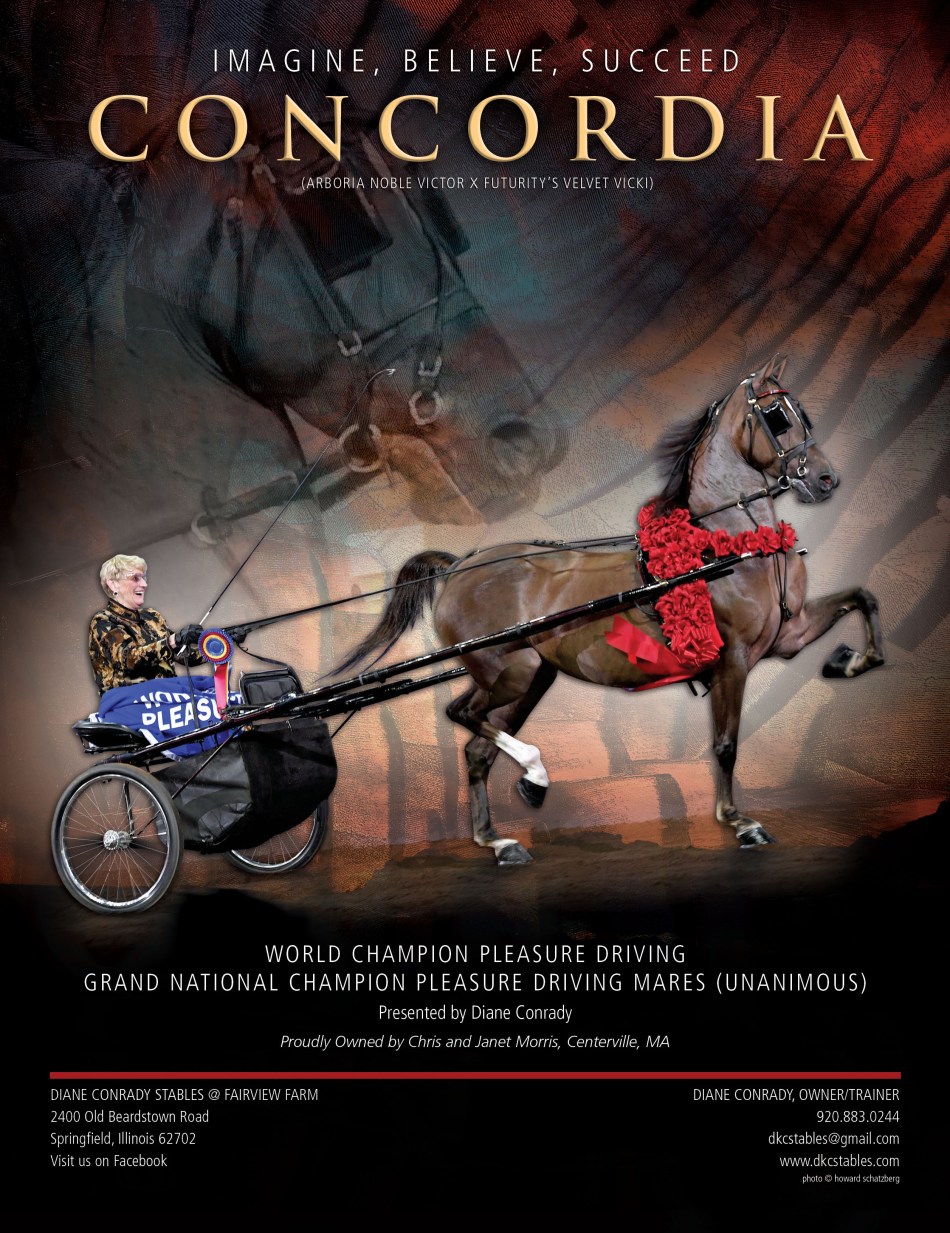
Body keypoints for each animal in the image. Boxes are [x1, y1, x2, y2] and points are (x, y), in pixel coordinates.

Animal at [338, 355, 885, 865]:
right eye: (776, 416)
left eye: (802, 413)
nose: (826, 479)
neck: (729, 549)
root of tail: (459, 565)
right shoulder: (731, 660)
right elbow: (726, 744)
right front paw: (739, 822)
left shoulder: (787, 636)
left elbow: (864, 599)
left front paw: (848, 661)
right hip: (509, 670)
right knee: (464, 715)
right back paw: (534, 774)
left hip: (529, 676)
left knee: (476, 747)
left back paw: (497, 839)